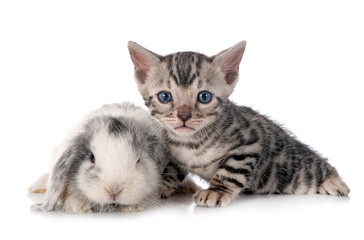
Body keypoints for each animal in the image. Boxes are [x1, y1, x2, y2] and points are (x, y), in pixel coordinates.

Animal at [127, 40, 350, 207]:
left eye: (204, 97)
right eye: (164, 96)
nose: (183, 116)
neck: (190, 143)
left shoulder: (249, 144)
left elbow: (230, 171)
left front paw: (216, 191)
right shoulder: (174, 156)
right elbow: (171, 170)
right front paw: (160, 186)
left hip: (298, 169)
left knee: (321, 166)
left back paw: (335, 182)